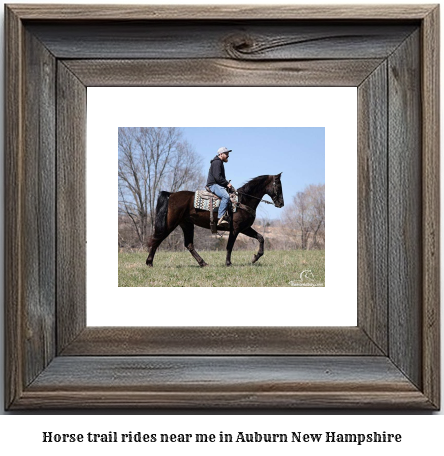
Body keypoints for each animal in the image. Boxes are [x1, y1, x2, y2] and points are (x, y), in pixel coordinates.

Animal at [146, 174, 284, 268]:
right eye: (278, 185)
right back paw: (149, 262)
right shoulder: (236, 229)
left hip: (187, 225)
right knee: (157, 239)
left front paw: (255, 258)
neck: (242, 201)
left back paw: (203, 263)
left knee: (189, 245)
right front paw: (228, 263)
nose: (281, 203)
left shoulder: (245, 228)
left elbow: (261, 238)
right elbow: (230, 246)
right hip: (170, 224)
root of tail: (171, 194)